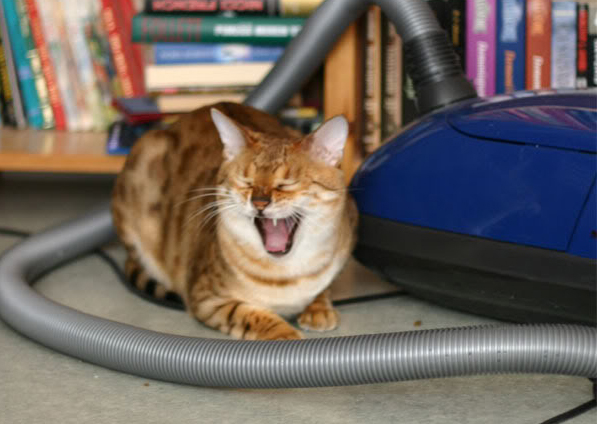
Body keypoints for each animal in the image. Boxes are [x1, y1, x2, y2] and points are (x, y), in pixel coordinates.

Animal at [111, 102, 357, 340]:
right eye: (246, 181)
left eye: (286, 184)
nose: (259, 202)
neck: (286, 273)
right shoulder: (206, 299)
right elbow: (249, 314)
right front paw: (284, 334)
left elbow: (323, 287)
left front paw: (319, 307)